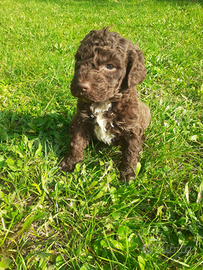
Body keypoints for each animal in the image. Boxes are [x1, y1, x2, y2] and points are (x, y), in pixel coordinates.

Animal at [58, 27, 151, 180]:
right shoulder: (80, 121)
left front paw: (128, 174)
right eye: (79, 59)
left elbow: (130, 153)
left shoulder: (131, 130)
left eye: (110, 66)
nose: (80, 86)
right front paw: (70, 163)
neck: (105, 102)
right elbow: (76, 144)